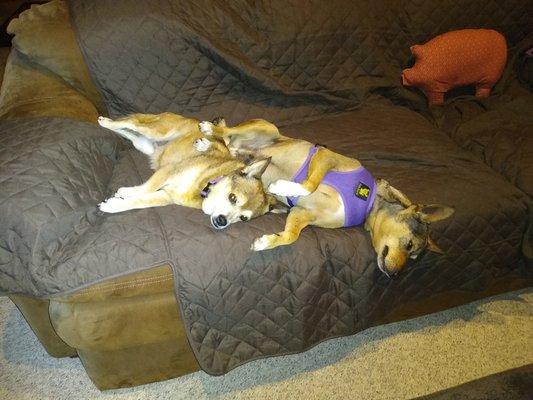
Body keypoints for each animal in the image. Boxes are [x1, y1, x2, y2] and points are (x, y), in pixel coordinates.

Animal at [97, 112, 284, 227]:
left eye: (244, 218)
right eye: (233, 197)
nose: (222, 222)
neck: (206, 185)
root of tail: (190, 118)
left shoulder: (167, 195)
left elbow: (140, 202)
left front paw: (114, 205)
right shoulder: (169, 171)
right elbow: (146, 189)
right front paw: (125, 192)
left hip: (146, 145)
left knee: (130, 132)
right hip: (158, 131)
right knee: (132, 122)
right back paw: (105, 121)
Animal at [197, 117, 456, 276]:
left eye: (413, 256)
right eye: (410, 244)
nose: (394, 275)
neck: (367, 202)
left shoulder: (302, 213)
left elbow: (291, 236)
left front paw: (267, 241)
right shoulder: (327, 157)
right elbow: (309, 184)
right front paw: (285, 187)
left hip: (243, 148)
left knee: (230, 146)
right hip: (265, 127)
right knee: (227, 132)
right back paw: (209, 131)